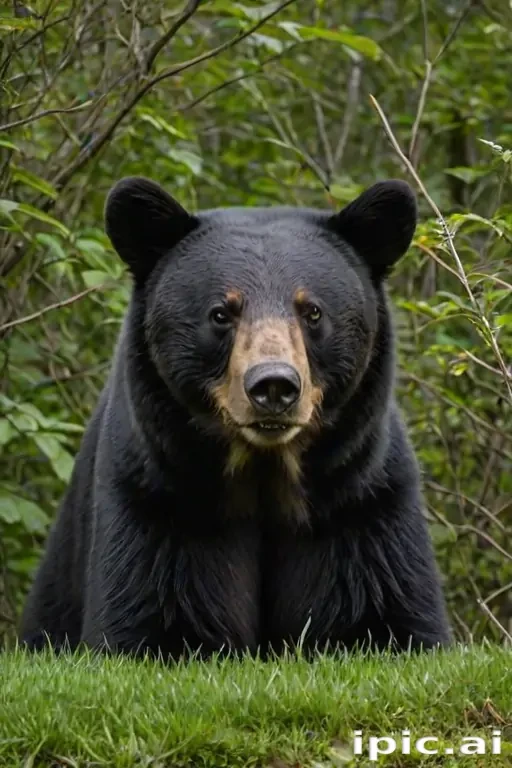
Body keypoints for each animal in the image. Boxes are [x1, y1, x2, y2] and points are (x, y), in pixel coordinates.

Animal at [19, 176, 451, 659]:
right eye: (221, 313)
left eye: (312, 311)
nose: (274, 386)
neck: (265, 474)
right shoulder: (155, 499)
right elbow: (145, 612)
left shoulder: (363, 504)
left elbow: (392, 608)